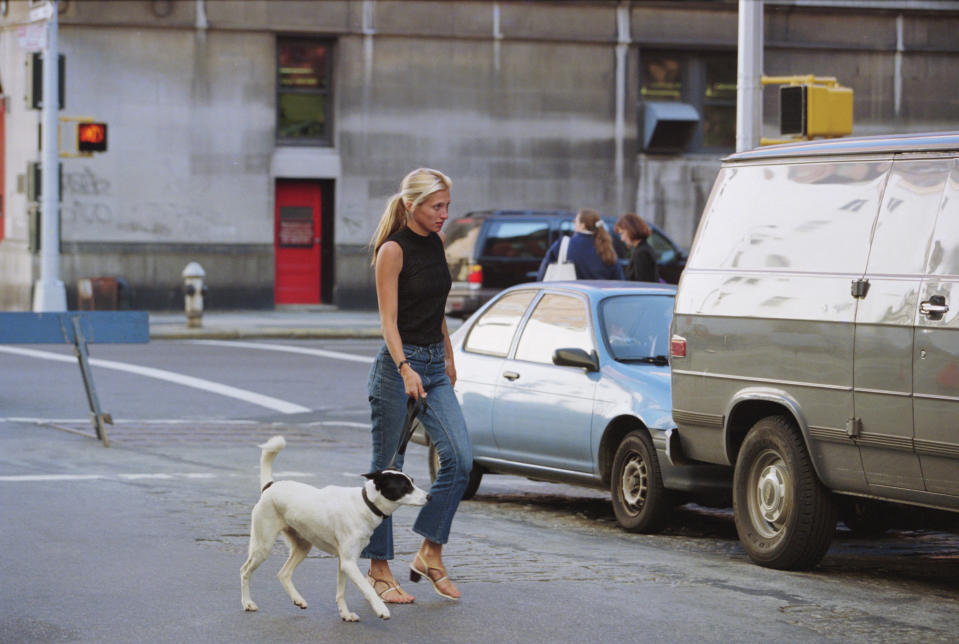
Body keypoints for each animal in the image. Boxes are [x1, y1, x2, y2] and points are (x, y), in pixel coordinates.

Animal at [238, 436, 430, 620]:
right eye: (405, 487)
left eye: (412, 482)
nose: (429, 496)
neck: (365, 504)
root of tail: (270, 486)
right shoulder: (349, 563)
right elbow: (367, 588)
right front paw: (380, 608)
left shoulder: (344, 562)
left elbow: (341, 592)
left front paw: (345, 614)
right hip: (263, 546)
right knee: (245, 571)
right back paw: (247, 603)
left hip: (302, 546)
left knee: (283, 574)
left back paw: (297, 599)